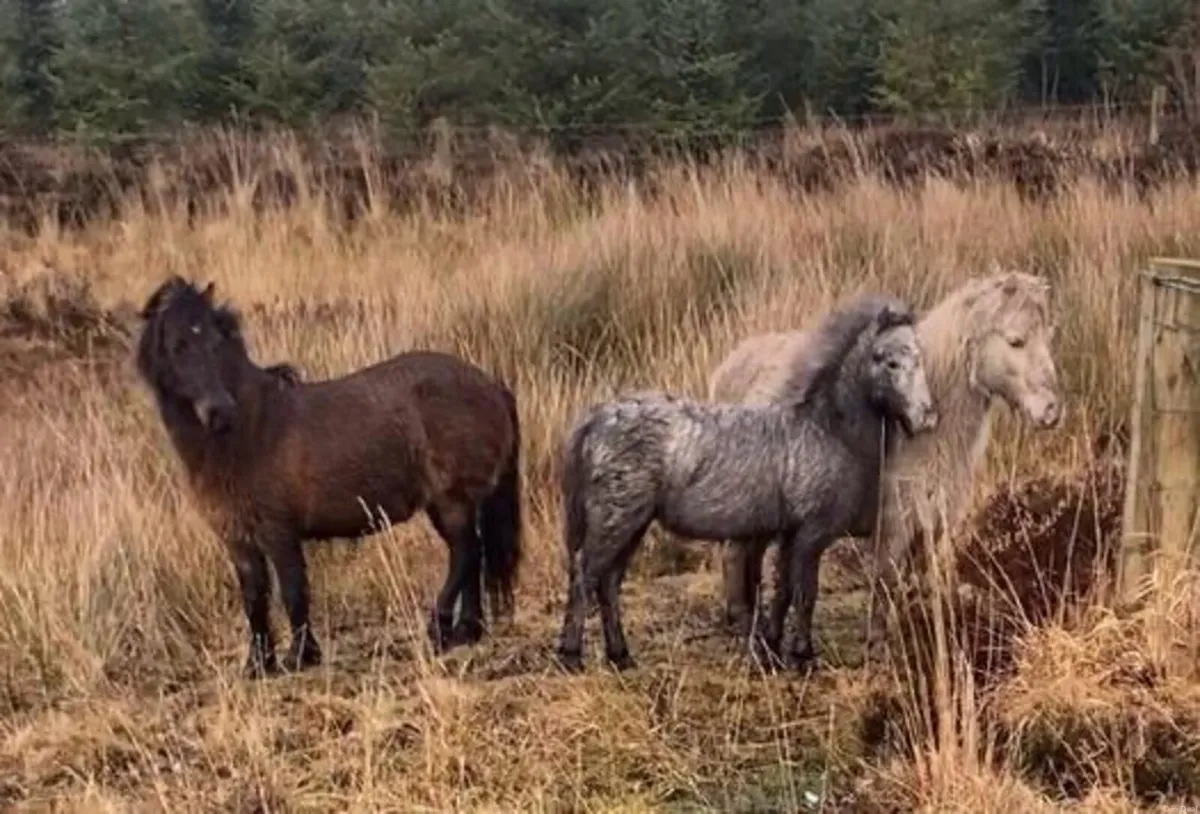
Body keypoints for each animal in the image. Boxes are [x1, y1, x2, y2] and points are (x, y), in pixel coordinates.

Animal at [134, 276, 523, 678]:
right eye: (178, 346)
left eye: (216, 342)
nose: (220, 412)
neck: (249, 431)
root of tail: (491, 383)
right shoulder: (238, 540)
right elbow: (254, 599)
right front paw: (258, 665)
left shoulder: (278, 533)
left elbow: (292, 591)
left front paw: (299, 656)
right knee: (471, 556)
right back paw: (466, 632)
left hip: (452, 500)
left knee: (465, 552)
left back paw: (440, 627)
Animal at [554, 293, 939, 673]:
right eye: (888, 361)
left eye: (919, 358)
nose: (927, 418)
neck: (827, 431)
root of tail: (598, 417)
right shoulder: (811, 534)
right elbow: (805, 593)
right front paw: (802, 656)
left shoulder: (788, 535)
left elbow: (784, 591)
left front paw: (774, 650)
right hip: (616, 521)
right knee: (585, 577)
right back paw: (571, 656)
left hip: (632, 525)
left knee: (608, 582)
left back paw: (621, 656)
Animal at [708, 269, 1063, 660]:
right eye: (1016, 341)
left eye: (1048, 337)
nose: (1051, 411)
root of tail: (729, 366)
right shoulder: (894, 525)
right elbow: (886, 583)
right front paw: (878, 646)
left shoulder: (933, 527)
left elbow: (920, 584)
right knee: (735, 557)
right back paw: (747, 630)